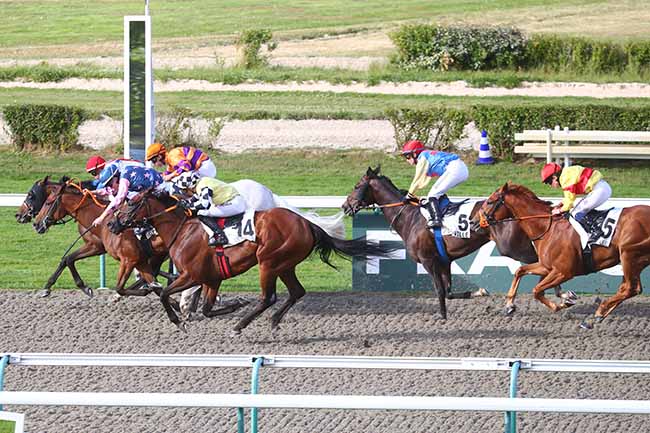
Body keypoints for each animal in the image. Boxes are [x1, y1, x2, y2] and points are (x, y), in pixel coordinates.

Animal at [33, 179, 168, 296]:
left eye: (47, 203)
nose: (36, 224)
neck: (104, 221)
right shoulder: (94, 246)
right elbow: (68, 259)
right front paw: (49, 287)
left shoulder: (110, 251)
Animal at [111, 192, 392, 330]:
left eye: (132, 204)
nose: (113, 224)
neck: (182, 229)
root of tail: (307, 224)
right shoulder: (212, 278)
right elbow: (207, 308)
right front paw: (233, 304)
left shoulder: (192, 275)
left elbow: (163, 294)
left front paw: (178, 321)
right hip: (285, 264)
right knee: (296, 292)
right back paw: (273, 321)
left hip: (268, 261)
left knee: (268, 297)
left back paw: (241, 324)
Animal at [340, 167, 572, 318]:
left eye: (357, 186)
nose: (345, 206)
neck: (409, 217)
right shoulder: (445, 261)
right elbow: (450, 292)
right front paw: (480, 292)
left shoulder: (429, 261)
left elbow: (440, 291)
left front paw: (442, 316)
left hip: (513, 247)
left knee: (542, 264)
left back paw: (561, 294)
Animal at [476, 181, 648, 328]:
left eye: (490, 201)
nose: (475, 222)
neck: (547, 227)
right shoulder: (546, 266)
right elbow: (521, 271)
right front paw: (509, 305)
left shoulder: (563, 272)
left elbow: (537, 290)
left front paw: (564, 303)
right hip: (635, 259)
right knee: (628, 288)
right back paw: (597, 317)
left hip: (629, 255)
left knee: (630, 288)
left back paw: (599, 311)